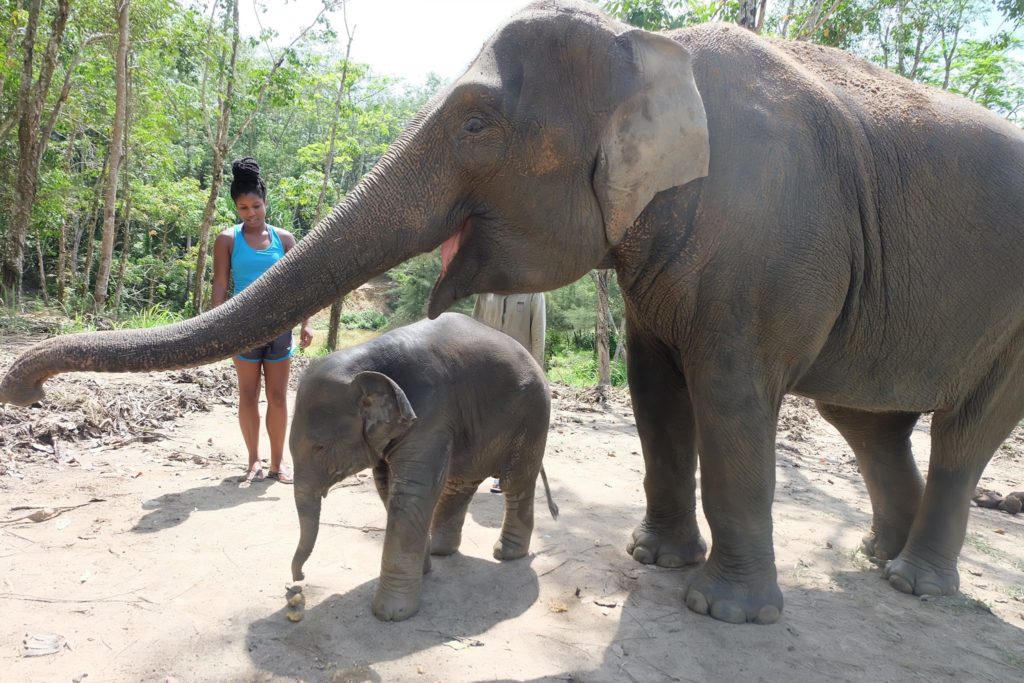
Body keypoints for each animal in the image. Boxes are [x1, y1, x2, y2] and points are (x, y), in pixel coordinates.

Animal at [289, 313, 557, 622]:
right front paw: (424, 570)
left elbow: (412, 491)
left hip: (533, 416)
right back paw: (442, 550)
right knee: (462, 481)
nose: (298, 580)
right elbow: (388, 486)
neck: (366, 362)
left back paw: (507, 554)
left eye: (319, 447)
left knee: (515, 482)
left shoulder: (430, 415)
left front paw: (391, 614)